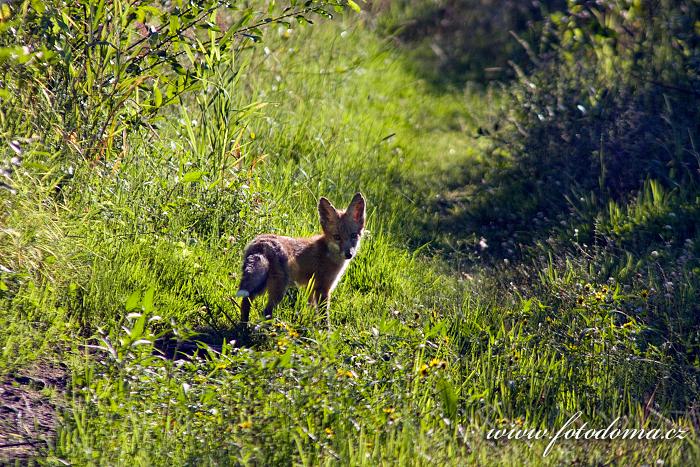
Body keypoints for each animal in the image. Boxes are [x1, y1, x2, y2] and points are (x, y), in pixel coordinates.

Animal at [235, 193, 366, 326]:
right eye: (337, 237)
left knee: (245, 303)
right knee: (266, 312)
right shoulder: (323, 289)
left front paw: (313, 328)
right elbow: (324, 317)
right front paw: (326, 331)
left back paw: (243, 326)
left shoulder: (311, 288)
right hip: (279, 290)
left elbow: (313, 312)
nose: (349, 254)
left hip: (261, 285)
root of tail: (261, 244)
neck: (327, 252)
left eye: (353, 236)